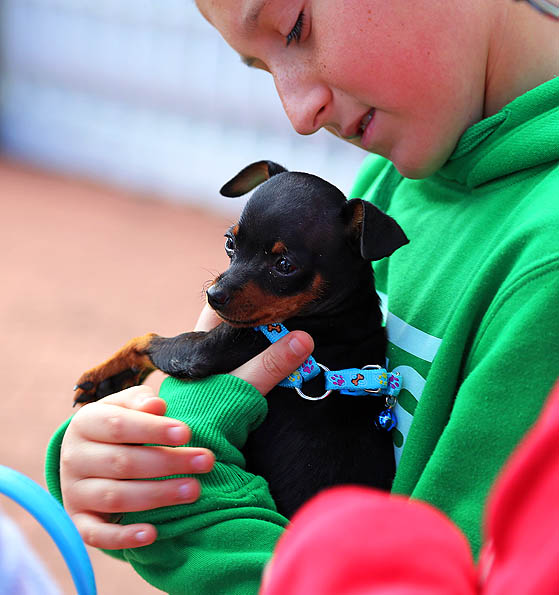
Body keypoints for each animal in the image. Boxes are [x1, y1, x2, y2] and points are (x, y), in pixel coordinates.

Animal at [73, 161, 406, 520]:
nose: (214, 296)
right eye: (230, 244)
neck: (333, 315)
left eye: (284, 265)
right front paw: (111, 378)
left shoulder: (201, 351)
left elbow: (145, 341)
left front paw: (103, 373)